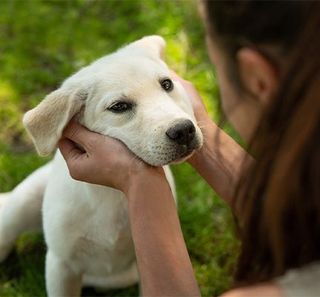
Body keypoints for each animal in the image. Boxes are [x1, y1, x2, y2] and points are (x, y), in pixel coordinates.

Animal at [0, 35, 202, 294]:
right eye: (119, 107)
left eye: (167, 84)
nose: (183, 130)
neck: (110, 194)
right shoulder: (61, 265)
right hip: (23, 202)